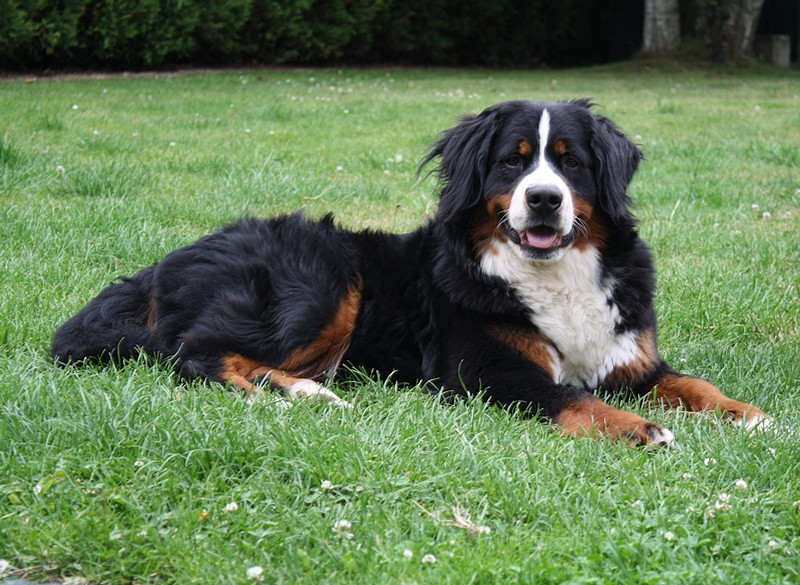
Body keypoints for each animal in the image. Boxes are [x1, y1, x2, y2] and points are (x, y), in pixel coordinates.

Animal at [51, 99, 768, 448]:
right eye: (513, 162)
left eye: (571, 162)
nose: (543, 199)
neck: (553, 274)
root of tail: (165, 261)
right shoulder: (484, 371)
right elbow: (572, 397)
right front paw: (637, 429)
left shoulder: (630, 356)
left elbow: (692, 382)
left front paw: (746, 413)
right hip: (325, 280)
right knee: (196, 354)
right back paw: (296, 394)